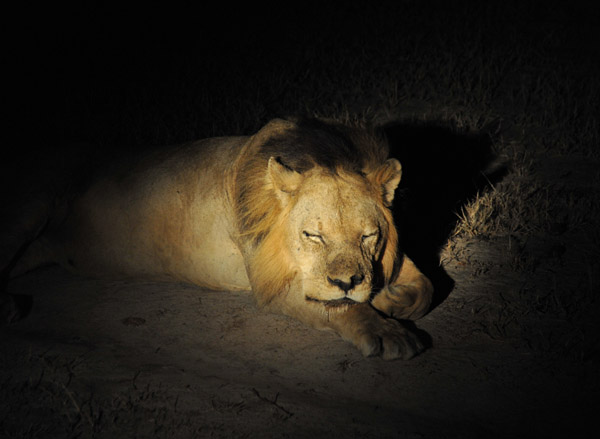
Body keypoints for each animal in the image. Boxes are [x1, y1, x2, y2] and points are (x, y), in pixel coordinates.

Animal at [0, 117, 432, 360]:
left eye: (369, 236)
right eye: (313, 235)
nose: (348, 282)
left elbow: (427, 288)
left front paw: (392, 298)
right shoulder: (272, 285)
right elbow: (341, 308)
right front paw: (386, 331)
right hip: (33, 203)